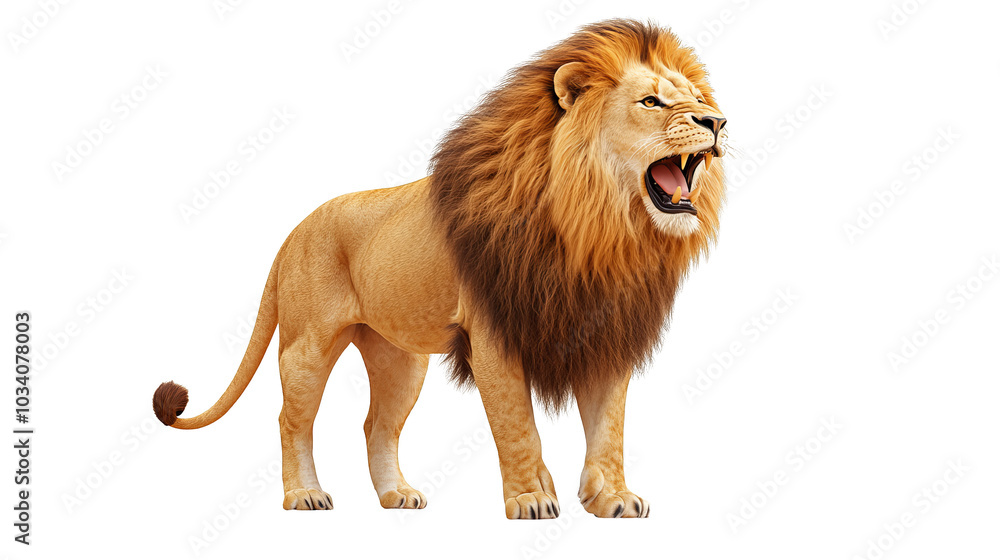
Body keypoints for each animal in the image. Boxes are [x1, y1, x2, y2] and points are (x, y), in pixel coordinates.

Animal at [152, 19, 727, 519]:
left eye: (698, 100)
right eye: (651, 101)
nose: (716, 122)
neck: (599, 232)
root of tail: (294, 231)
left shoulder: (605, 332)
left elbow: (609, 429)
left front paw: (612, 499)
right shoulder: (494, 337)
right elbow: (518, 426)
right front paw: (531, 499)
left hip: (400, 359)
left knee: (376, 425)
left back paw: (397, 495)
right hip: (307, 346)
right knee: (292, 420)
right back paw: (304, 495)